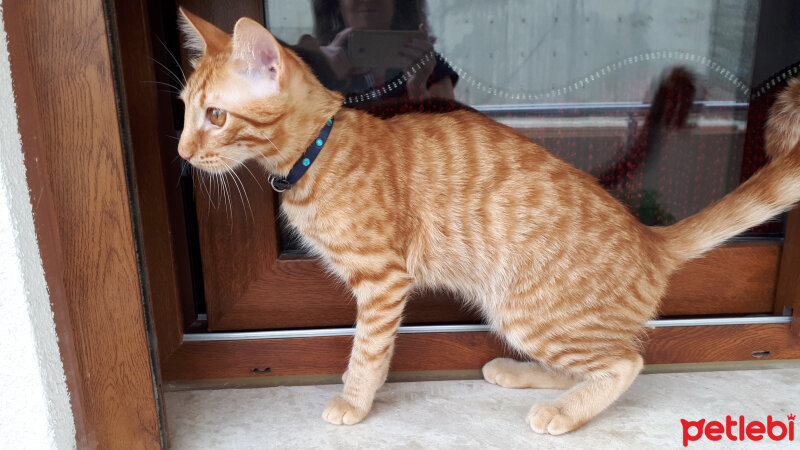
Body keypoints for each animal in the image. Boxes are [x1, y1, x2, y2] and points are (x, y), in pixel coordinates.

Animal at [178, 8, 800, 434]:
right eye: (184, 111)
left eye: (216, 116)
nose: (181, 153)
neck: (320, 150)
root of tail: (650, 237)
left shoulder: (383, 282)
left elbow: (368, 352)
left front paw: (355, 400)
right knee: (590, 363)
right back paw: (523, 375)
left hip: (530, 309)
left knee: (624, 362)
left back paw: (563, 413)